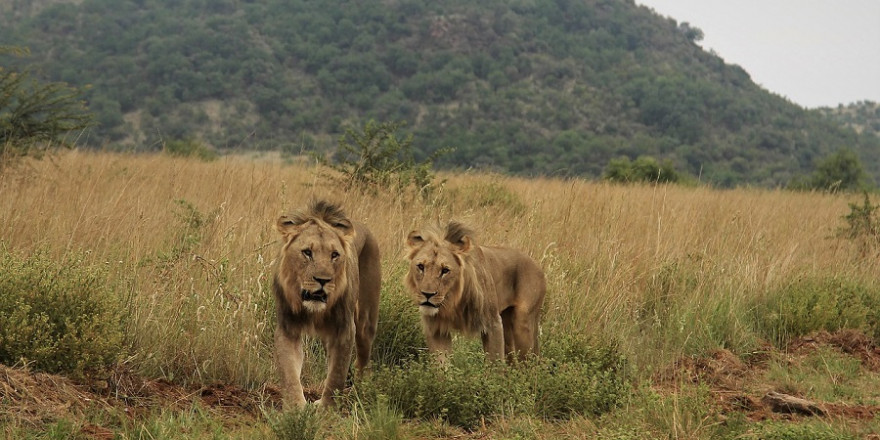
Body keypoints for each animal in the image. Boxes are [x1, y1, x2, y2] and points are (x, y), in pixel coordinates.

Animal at [274, 201, 380, 408]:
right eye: (307, 252)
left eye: (334, 255)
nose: (323, 280)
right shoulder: (288, 327)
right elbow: (289, 371)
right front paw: (296, 407)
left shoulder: (345, 329)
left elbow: (337, 374)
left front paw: (326, 408)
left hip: (366, 320)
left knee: (362, 359)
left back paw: (359, 391)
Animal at [404, 222, 544, 362]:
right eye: (421, 266)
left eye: (445, 270)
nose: (427, 294)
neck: (453, 300)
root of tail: (536, 264)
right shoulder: (436, 329)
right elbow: (442, 365)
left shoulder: (492, 323)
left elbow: (495, 363)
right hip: (507, 324)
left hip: (523, 324)